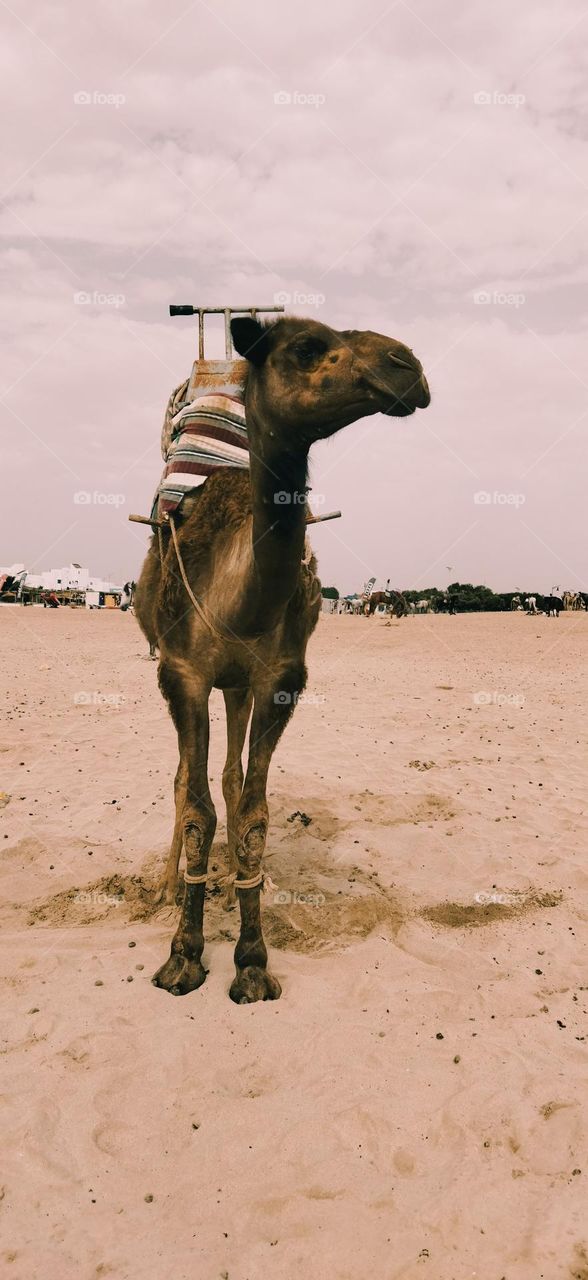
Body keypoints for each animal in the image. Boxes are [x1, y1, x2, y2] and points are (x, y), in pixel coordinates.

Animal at [133, 312, 430, 998]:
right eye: (308, 347)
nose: (410, 367)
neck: (238, 599)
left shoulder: (280, 678)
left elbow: (253, 812)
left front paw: (250, 960)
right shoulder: (182, 674)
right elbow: (197, 807)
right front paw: (183, 954)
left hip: (239, 686)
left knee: (229, 774)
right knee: (187, 779)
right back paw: (168, 886)